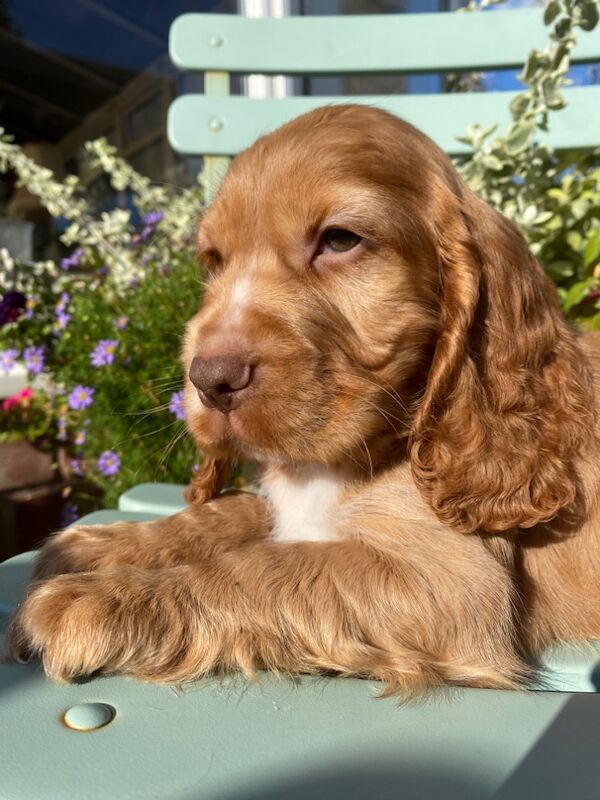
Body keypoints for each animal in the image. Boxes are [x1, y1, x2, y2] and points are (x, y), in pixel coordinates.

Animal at [8, 106, 600, 692]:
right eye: (214, 261)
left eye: (339, 240)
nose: (210, 379)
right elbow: (227, 513)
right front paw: (97, 547)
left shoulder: (454, 582)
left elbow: (264, 568)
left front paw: (100, 598)